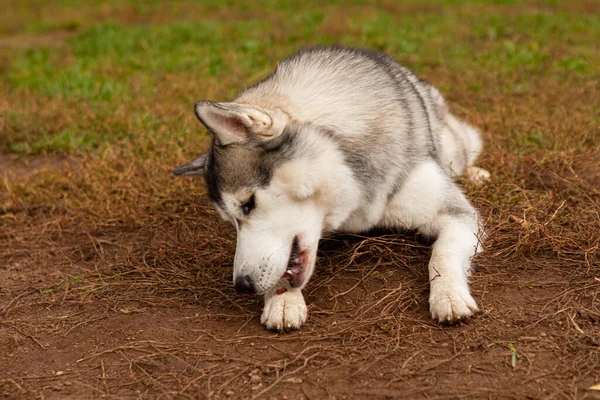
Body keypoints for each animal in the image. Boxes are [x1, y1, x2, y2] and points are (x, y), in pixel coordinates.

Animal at [172, 45, 488, 330]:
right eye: (230, 221)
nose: (242, 285)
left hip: (454, 148)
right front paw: (282, 299)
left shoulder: (456, 214)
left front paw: (448, 295)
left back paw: (476, 173)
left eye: (248, 204)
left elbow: (442, 254)